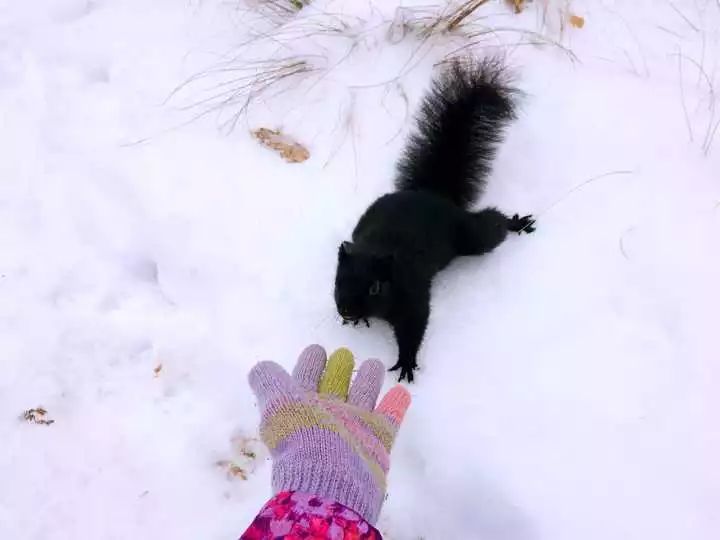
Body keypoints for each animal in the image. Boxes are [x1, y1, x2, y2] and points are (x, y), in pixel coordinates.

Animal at [334, 57, 532, 382]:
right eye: (338, 281)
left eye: (375, 288)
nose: (347, 311)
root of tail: (432, 193)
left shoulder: (413, 294)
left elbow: (414, 326)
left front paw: (406, 361)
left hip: (469, 236)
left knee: (491, 226)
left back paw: (516, 223)